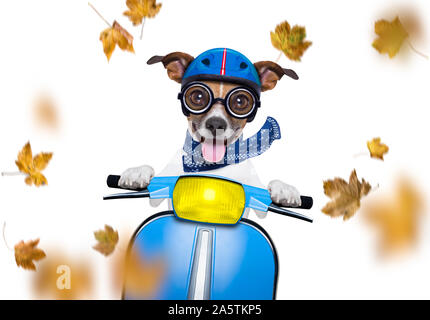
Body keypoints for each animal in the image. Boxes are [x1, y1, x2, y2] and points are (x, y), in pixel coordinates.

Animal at [117, 48, 302, 218]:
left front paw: (283, 188)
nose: (216, 124)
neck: (211, 166)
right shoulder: (159, 192)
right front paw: (137, 171)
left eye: (240, 101)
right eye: (198, 96)